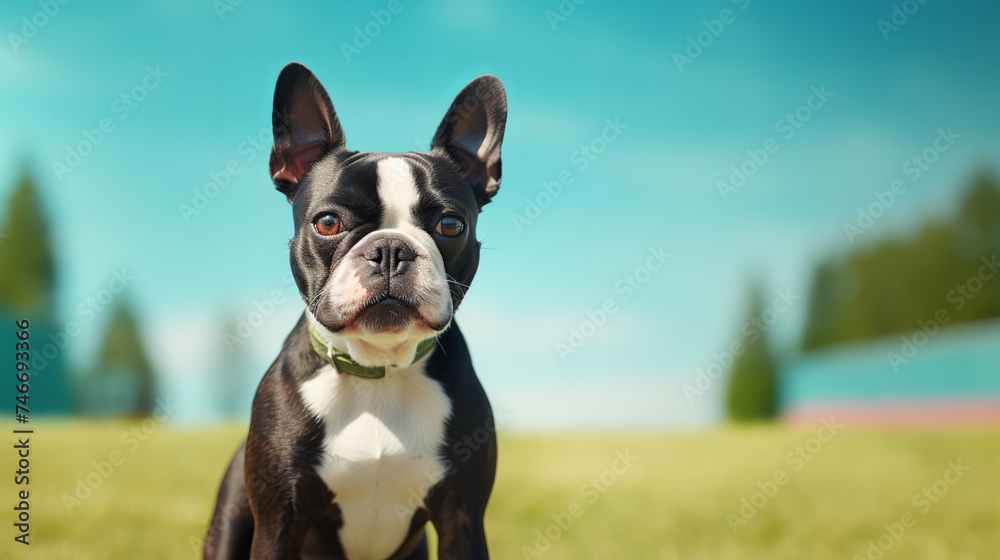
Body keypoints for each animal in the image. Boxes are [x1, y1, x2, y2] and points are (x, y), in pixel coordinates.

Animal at [201, 62, 508, 560]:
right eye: (327, 222)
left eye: (450, 225)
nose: (390, 250)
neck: (378, 369)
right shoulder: (278, 522)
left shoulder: (462, 518)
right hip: (230, 521)